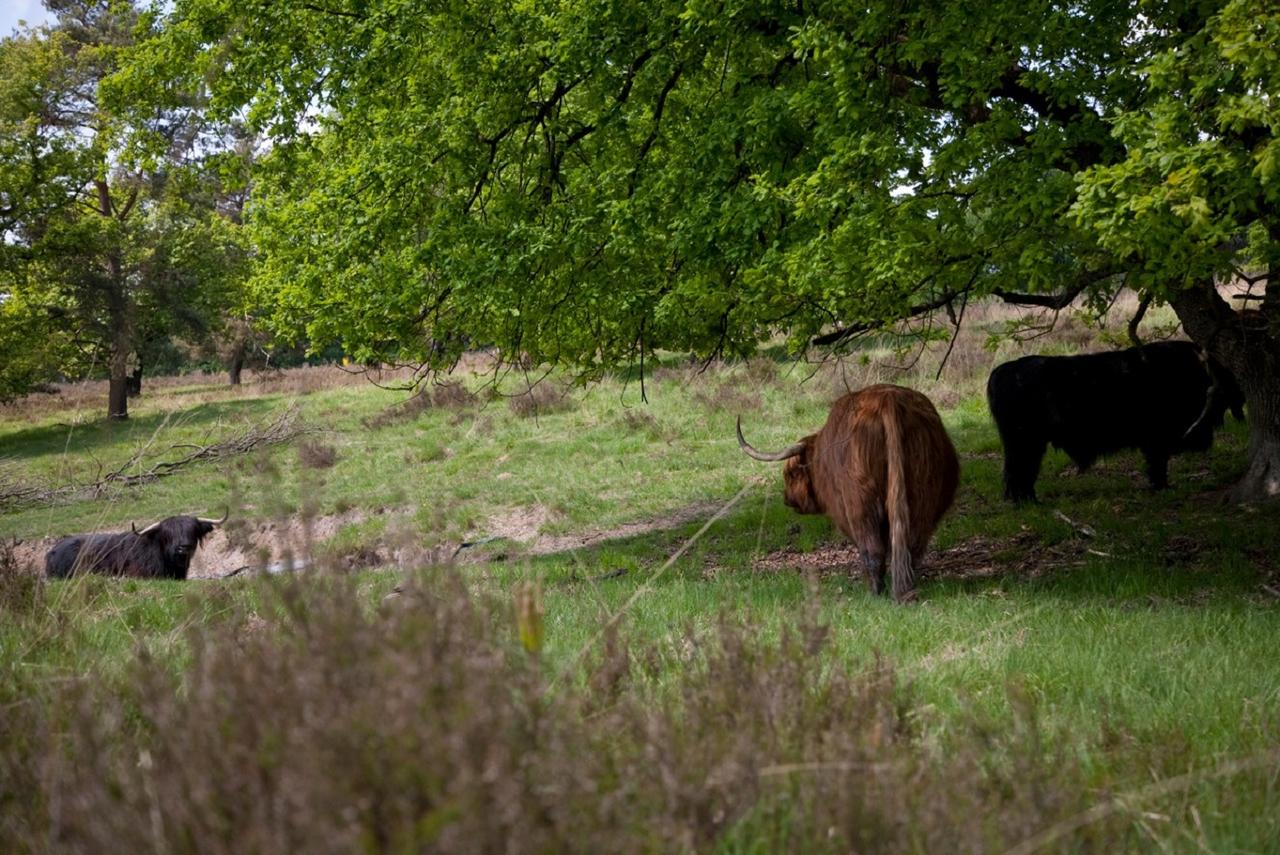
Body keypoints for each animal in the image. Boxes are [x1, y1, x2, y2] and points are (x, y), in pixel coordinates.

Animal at [983, 340, 1244, 501]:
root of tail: (1001, 372)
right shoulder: (1156, 439)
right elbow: (1158, 464)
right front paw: (1163, 487)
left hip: (1028, 443)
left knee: (1020, 473)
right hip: (1025, 442)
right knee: (1018, 472)